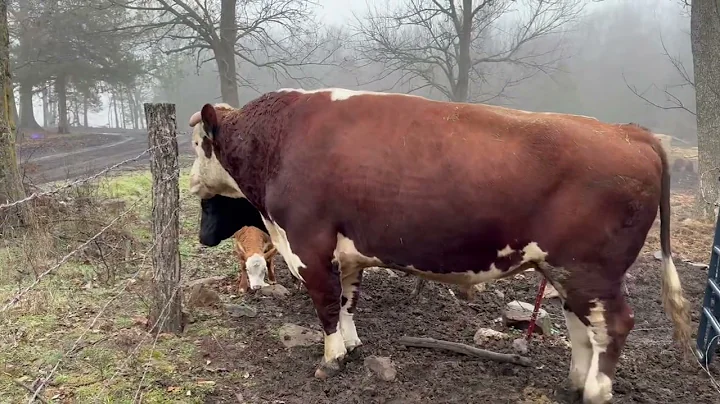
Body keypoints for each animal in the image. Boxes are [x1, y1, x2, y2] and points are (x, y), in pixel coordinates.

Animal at [187, 89, 692, 404]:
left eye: (196, 145)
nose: (191, 183)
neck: (279, 142)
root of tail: (630, 132)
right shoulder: (345, 252)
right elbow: (347, 302)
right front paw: (351, 346)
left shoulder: (308, 245)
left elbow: (327, 306)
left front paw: (331, 360)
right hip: (568, 272)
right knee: (583, 329)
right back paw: (573, 384)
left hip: (591, 271)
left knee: (613, 327)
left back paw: (595, 391)